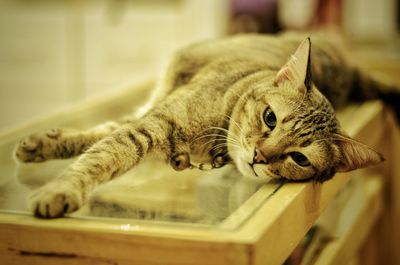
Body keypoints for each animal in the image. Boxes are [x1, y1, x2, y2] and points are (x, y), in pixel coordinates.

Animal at [14, 33, 392, 219]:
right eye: (270, 118)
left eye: (300, 159)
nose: (259, 156)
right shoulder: (152, 122)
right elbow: (98, 150)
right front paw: (51, 168)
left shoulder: (148, 126)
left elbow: (101, 149)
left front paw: (55, 182)